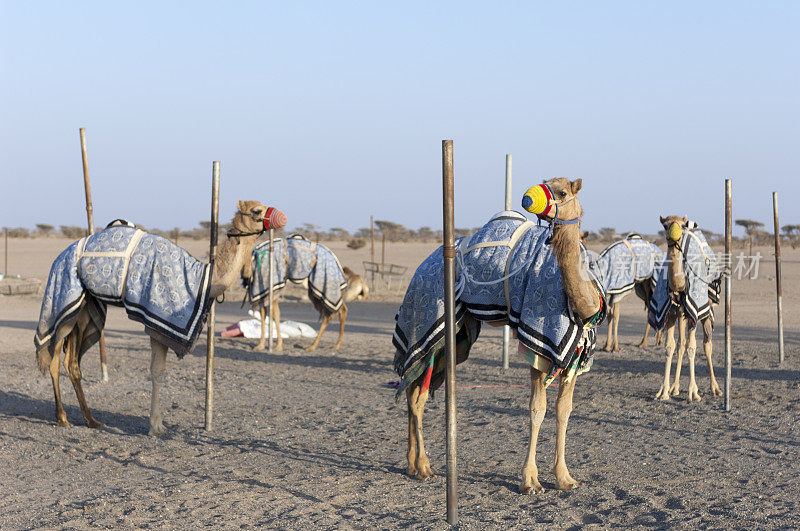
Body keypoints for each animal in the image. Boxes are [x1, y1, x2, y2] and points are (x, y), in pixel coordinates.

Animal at [34, 202, 286, 434]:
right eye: (256, 210)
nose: (280, 217)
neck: (201, 278)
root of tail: (60, 256)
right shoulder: (156, 321)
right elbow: (157, 371)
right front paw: (156, 427)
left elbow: (160, 371)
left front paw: (157, 424)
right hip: (64, 294)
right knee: (53, 358)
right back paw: (62, 418)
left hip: (85, 308)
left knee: (71, 362)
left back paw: (92, 420)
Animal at [394, 180, 608, 494]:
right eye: (548, 183)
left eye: (563, 192)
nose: (528, 197)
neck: (584, 307)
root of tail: (421, 267)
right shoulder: (539, 350)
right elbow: (537, 409)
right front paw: (530, 481)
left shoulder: (575, 357)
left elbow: (564, 410)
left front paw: (565, 478)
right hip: (430, 315)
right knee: (417, 396)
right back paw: (424, 468)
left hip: (454, 334)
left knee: (412, 389)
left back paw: (411, 464)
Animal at [648, 214, 724, 402]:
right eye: (665, 225)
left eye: (682, 226)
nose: (675, 236)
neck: (680, 286)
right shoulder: (671, 314)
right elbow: (670, 347)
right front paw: (663, 392)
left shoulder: (693, 314)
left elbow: (692, 347)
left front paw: (693, 393)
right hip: (681, 315)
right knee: (680, 345)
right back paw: (674, 388)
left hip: (705, 313)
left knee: (706, 344)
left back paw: (715, 388)